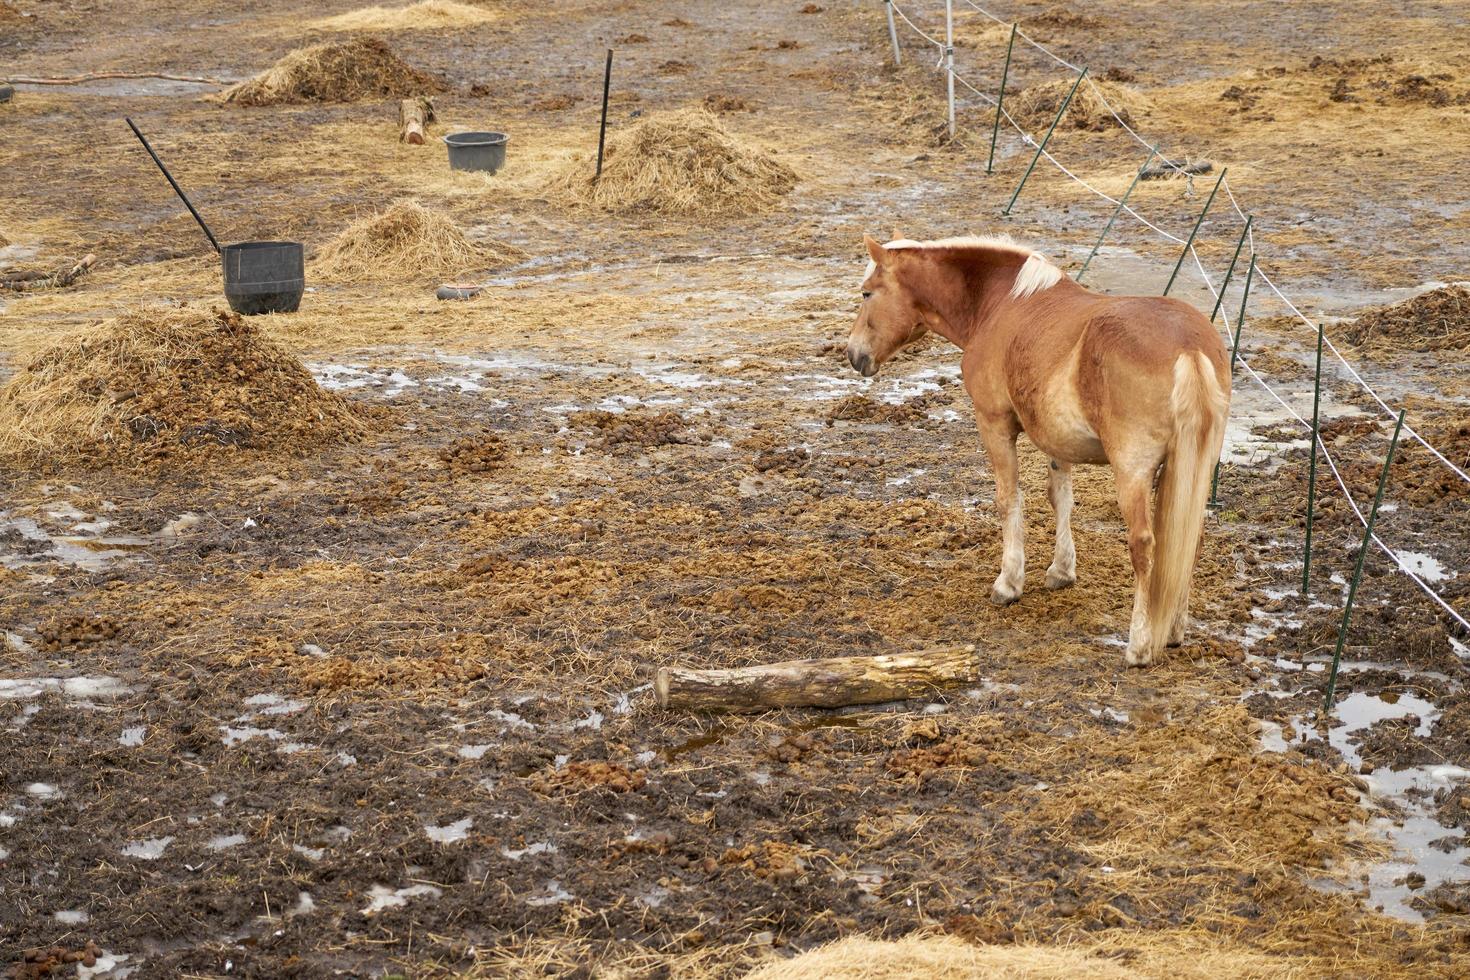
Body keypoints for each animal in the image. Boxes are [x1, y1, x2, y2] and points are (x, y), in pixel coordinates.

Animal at [852, 235, 1228, 667]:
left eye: (867, 293)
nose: (853, 354)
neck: (1001, 302)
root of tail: (1189, 347)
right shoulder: (1057, 440)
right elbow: (1060, 498)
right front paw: (1061, 572)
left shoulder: (994, 424)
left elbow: (1008, 500)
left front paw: (1008, 583)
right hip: (1194, 471)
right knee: (1188, 538)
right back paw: (1175, 630)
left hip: (1132, 472)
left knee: (1144, 545)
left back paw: (1139, 645)